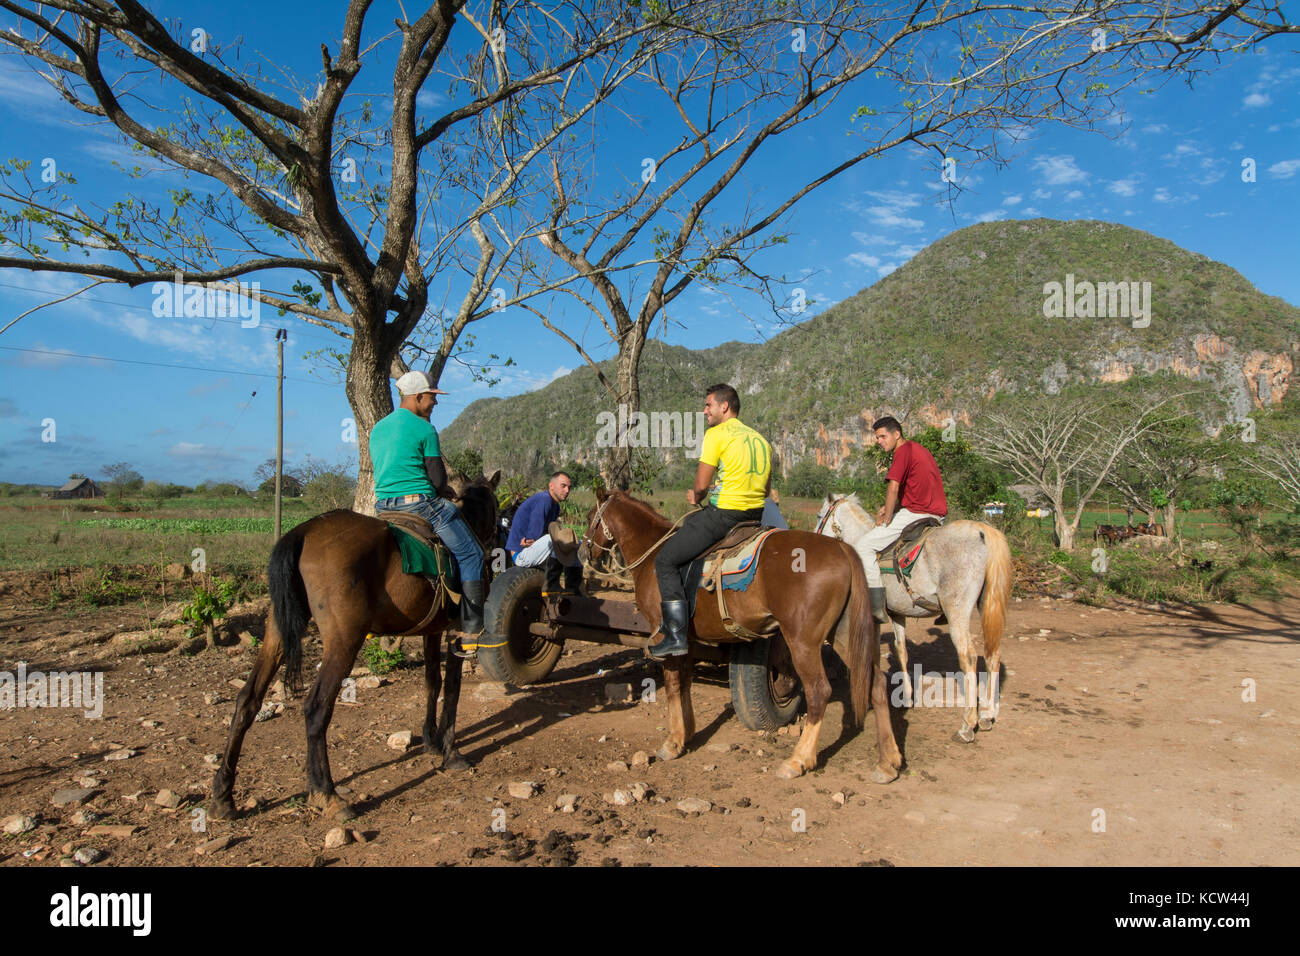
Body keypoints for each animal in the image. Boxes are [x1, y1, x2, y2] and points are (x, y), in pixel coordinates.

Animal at [210, 470, 499, 822]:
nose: (497, 546)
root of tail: (303, 532)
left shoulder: (433, 630)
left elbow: (433, 682)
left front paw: (431, 740)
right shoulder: (457, 631)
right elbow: (453, 689)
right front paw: (450, 751)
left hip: (276, 632)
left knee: (247, 700)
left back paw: (224, 795)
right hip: (344, 640)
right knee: (316, 707)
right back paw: (325, 793)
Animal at [585, 489, 899, 780]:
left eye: (590, 517)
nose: (584, 553)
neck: (652, 553)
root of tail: (842, 549)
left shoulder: (666, 636)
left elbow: (673, 684)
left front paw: (673, 743)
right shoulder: (688, 640)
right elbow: (685, 683)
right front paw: (688, 732)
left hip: (802, 641)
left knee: (819, 691)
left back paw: (798, 760)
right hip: (844, 635)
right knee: (876, 683)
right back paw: (888, 761)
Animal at [811, 496, 1013, 743]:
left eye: (820, 516)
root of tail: (981, 532)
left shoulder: (870, 616)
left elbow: (871, 652)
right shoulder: (896, 614)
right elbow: (901, 650)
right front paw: (906, 696)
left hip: (957, 611)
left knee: (969, 658)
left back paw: (967, 725)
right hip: (987, 605)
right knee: (993, 655)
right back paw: (987, 715)